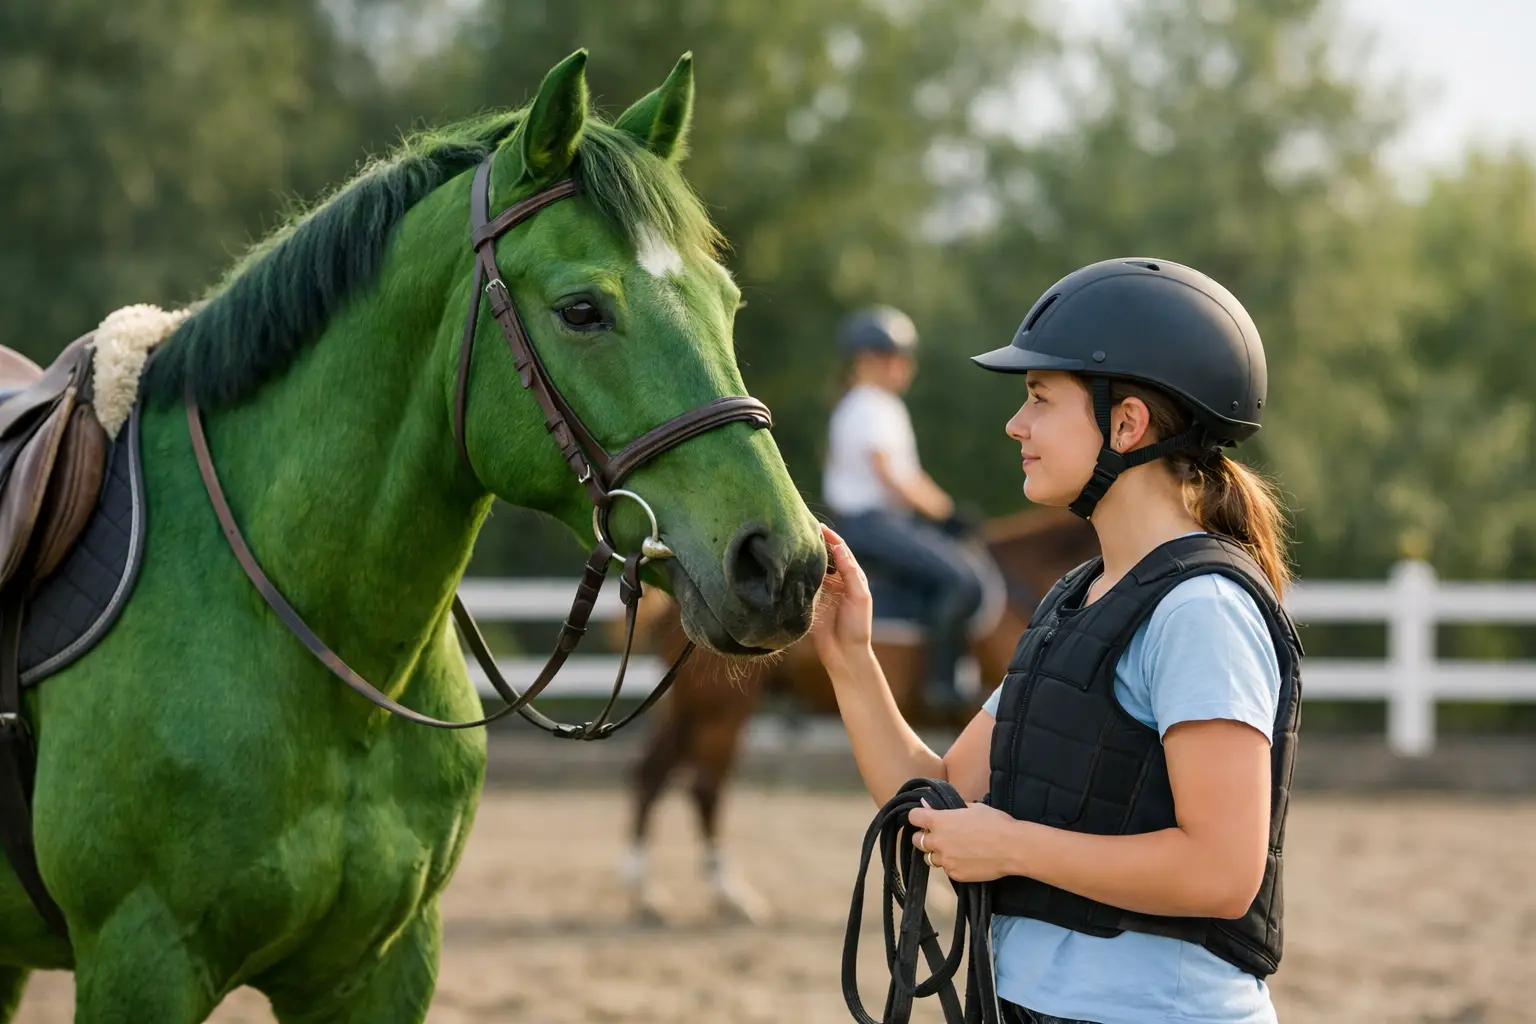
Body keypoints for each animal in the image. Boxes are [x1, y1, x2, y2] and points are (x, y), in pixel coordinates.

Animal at [620, 506, 1100, 921]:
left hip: (693, 707)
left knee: (656, 771)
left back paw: (650, 889)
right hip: (720, 707)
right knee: (702, 785)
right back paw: (716, 892)